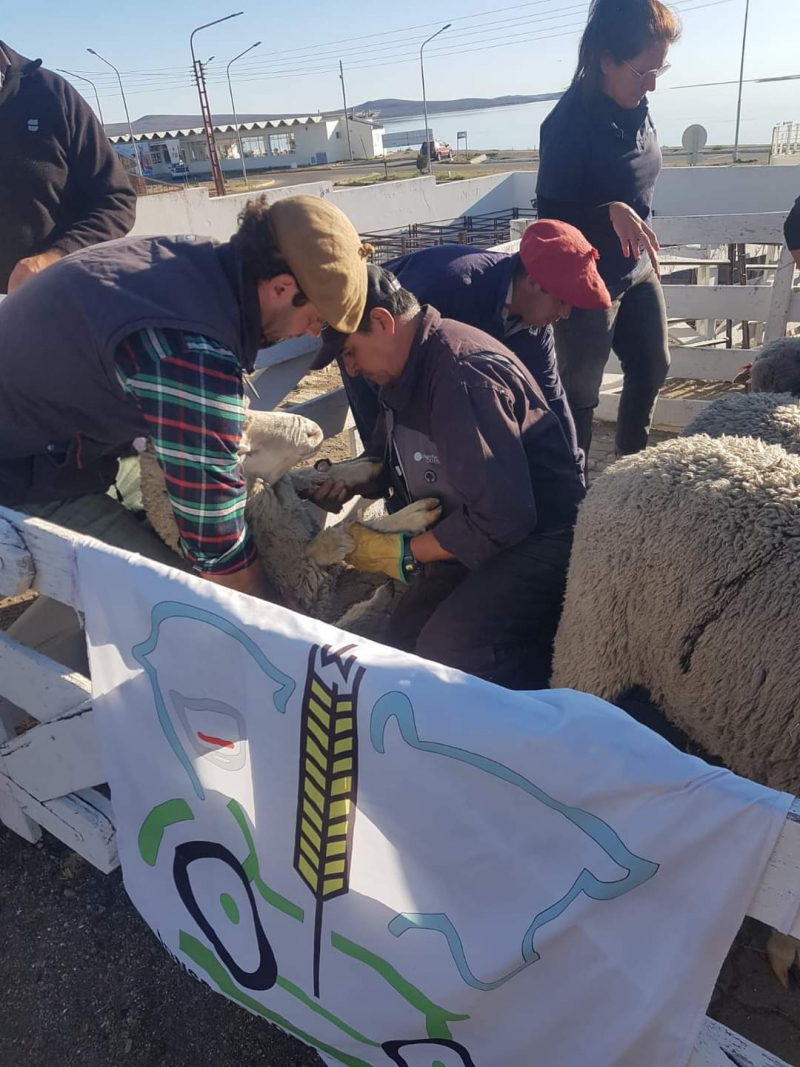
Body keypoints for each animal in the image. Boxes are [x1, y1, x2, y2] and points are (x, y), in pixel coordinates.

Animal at [136, 403, 439, 627]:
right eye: (241, 450)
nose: (313, 430)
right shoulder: (298, 579)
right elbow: (343, 537)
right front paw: (410, 518)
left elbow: (311, 475)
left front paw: (360, 470)